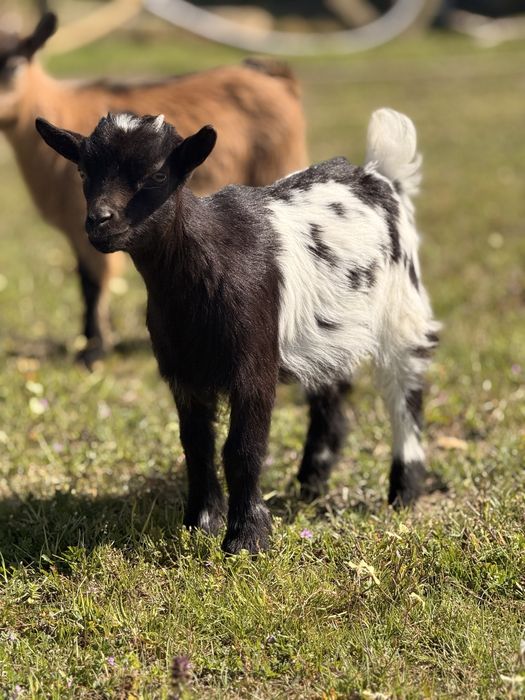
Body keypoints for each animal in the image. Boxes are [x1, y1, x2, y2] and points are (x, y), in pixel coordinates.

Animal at [0, 13, 307, 367]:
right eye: (82, 170)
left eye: (13, 66)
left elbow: (96, 281)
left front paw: (94, 351)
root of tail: (276, 78)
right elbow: (86, 281)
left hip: (279, 163)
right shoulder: (82, 225)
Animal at [35, 108, 445, 554]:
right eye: (83, 171)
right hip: (331, 332)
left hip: (401, 307)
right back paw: (311, 482)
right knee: (332, 390)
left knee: (405, 390)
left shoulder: (255, 363)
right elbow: (196, 445)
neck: (208, 261)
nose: (99, 222)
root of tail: (377, 174)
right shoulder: (184, 372)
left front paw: (247, 537)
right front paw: (200, 523)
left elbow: (242, 449)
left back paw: (404, 490)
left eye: (158, 175)